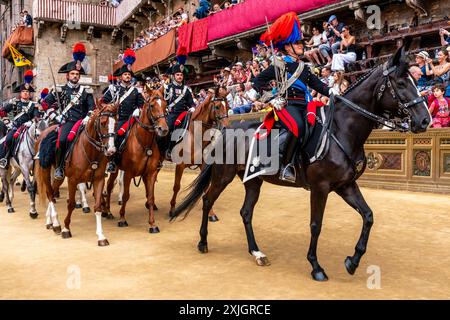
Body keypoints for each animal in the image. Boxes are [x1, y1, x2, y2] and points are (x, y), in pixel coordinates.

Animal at [36, 100, 118, 245]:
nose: (111, 150)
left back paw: (50, 221)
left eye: (116, 122)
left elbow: (97, 206)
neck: (89, 149)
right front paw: (66, 229)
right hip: (46, 170)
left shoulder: (98, 180)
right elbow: (71, 204)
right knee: (50, 194)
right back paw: (56, 223)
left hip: (59, 176)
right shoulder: (73, 180)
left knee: (53, 191)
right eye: (103, 122)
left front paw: (101, 236)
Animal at [103, 86, 169, 232]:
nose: (163, 129)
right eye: (152, 105)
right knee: (108, 187)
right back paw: (107, 211)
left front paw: (152, 224)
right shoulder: (128, 173)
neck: (144, 142)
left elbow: (150, 197)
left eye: (165, 105)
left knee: (110, 185)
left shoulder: (150, 173)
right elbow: (126, 195)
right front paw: (122, 219)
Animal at [171, 46, 430, 282]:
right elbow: (316, 224)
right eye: (401, 83)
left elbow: (368, 216)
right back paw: (203, 241)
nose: (425, 120)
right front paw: (316, 266)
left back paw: (256, 252)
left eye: (415, 79)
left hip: (253, 181)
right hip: (223, 175)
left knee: (245, 212)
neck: (341, 130)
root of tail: (226, 130)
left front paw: (353, 261)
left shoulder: (346, 185)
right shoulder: (320, 187)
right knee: (207, 200)